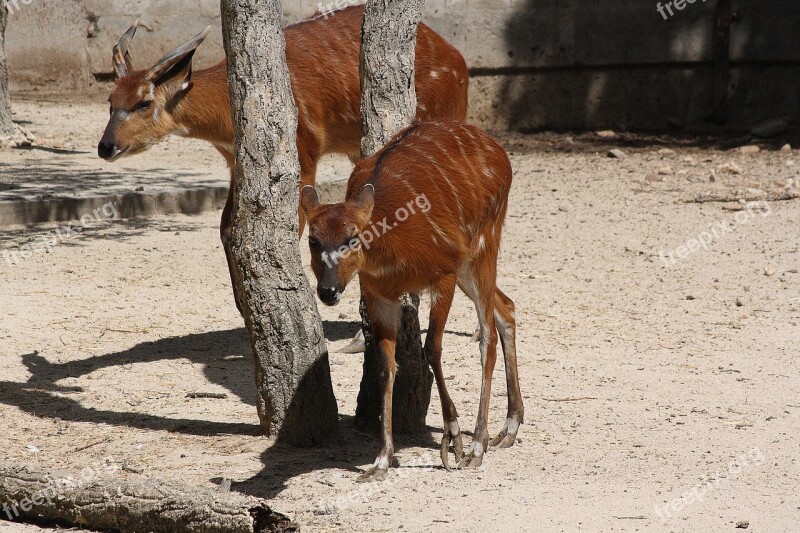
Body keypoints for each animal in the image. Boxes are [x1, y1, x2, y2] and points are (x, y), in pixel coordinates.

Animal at [98, 5, 468, 316]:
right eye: (110, 100)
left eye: (143, 103)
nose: (105, 146)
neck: (228, 118)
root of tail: (460, 63)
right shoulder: (237, 164)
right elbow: (228, 227)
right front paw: (245, 309)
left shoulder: (302, 154)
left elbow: (295, 225)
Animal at [300, 119, 524, 478]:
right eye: (313, 240)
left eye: (352, 238)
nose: (328, 291)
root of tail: (501, 152)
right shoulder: (379, 294)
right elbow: (385, 364)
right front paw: (381, 460)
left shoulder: (443, 272)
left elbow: (431, 347)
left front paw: (453, 439)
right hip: (468, 263)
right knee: (507, 307)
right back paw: (509, 428)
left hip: (483, 243)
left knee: (487, 335)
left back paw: (478, 446)